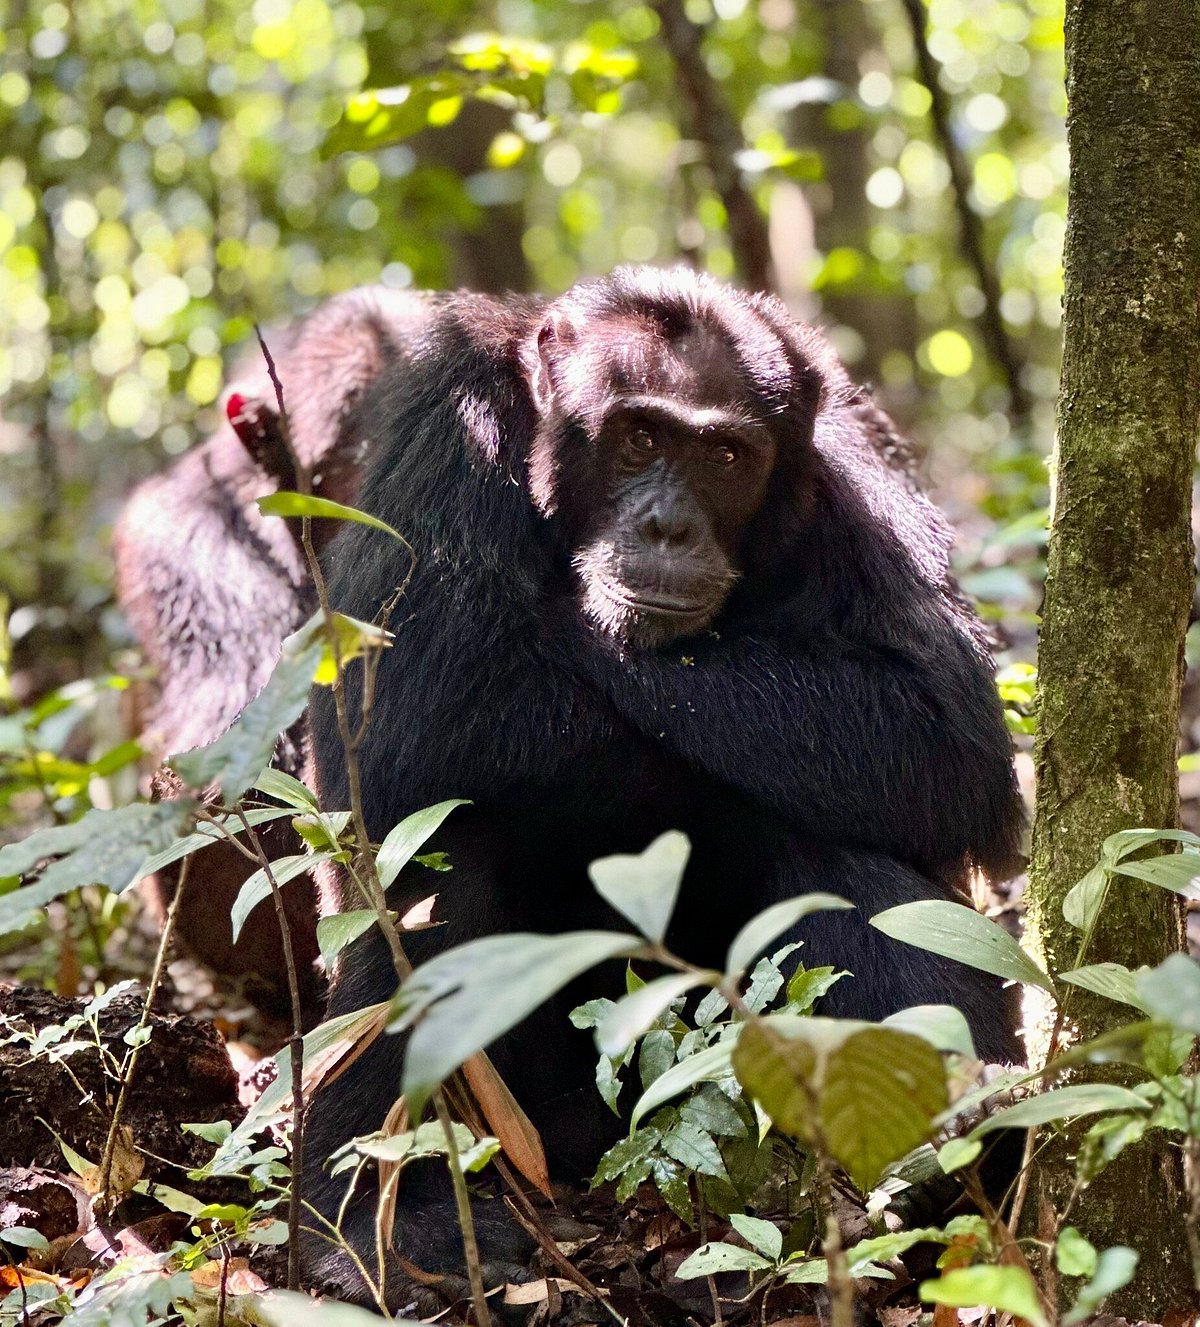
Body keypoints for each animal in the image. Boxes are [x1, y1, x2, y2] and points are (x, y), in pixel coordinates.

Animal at [300, 266, 1019, 1305]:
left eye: (723, 454)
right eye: (639, 437)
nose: (668, 524)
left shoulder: (858, 471)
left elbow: (940, 725)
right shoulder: (447, 416)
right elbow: (414, 692)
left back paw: (944, 1147)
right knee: (439, 868)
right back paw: (386, 1226)